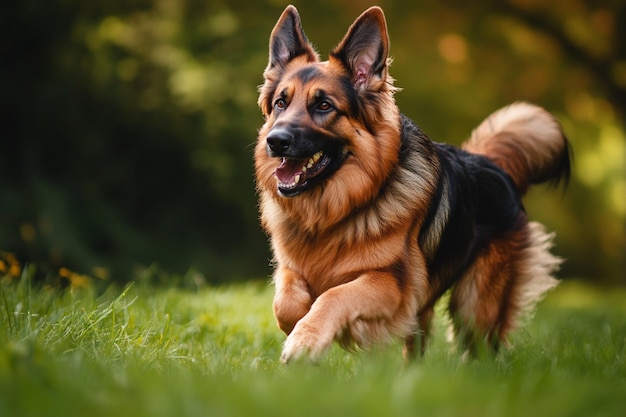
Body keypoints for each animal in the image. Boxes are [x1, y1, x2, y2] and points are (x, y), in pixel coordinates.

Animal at [255, 4, 572, 360]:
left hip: (475, 306)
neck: (333, 213)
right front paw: (305, 327)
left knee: (481, 345)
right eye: (280, 103)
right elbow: (286, 303)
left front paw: (308, 338)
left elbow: (333, 295)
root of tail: (490, 163)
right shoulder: (291, 268)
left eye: (324, 105)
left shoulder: (391, 284)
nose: (275, 141)